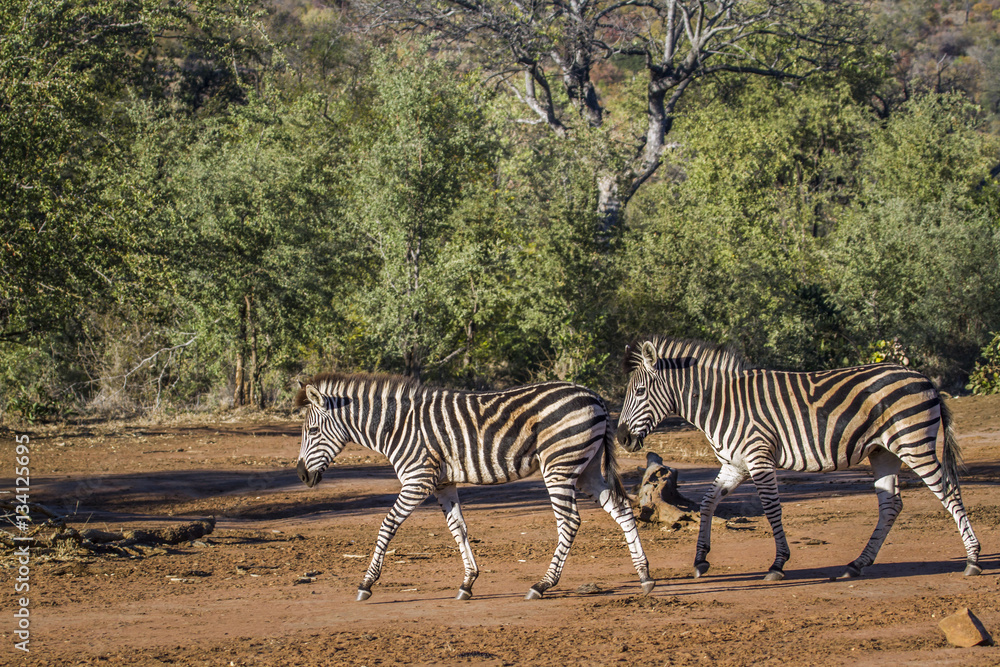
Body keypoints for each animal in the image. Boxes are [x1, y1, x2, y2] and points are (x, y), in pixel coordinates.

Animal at [294, 372, 654, 601]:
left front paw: (367, 583)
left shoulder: (418, 479)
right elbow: (459, 529)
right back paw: (645, 576)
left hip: (559, 465)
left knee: (570, 522)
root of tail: (594, 396)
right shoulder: (442, 483)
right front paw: (467, 583)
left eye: (311, 431)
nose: (300, 475)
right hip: (586, 469)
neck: (397, 425)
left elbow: (387, 525)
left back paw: (542, 585)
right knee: (622, 510)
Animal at [616, 336, 982, 581]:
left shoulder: (758, 457)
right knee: (891, 505)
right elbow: (707, 503)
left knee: (949, 492)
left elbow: (771, 508)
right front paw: (700, 560)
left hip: (913, 443)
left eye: (639, 393)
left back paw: (973, 560)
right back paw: (857, 564)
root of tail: (923, 378)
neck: (721, 404)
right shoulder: (734, 465)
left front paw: (778, 564)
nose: (621, 438)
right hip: (884, 452)